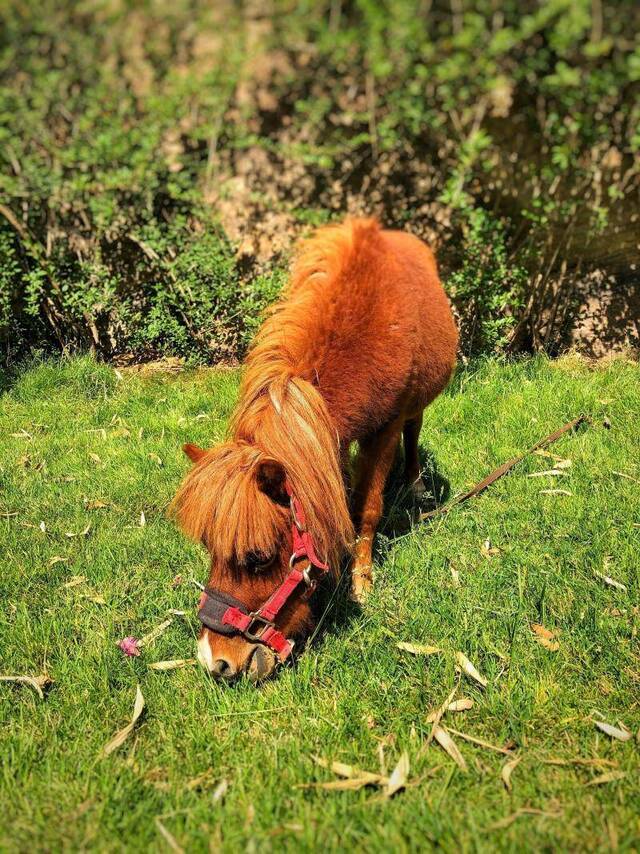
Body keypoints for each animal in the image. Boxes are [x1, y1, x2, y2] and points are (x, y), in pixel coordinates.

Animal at [172, 219, 458, 684]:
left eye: (258, 559)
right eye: (207, 548)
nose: (216, 660)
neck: (367, 327)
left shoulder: (385, 429)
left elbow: (368, 508)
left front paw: (361, 581)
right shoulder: (329, 439)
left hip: (416, 406)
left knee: (414, 431)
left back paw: (414, 482)